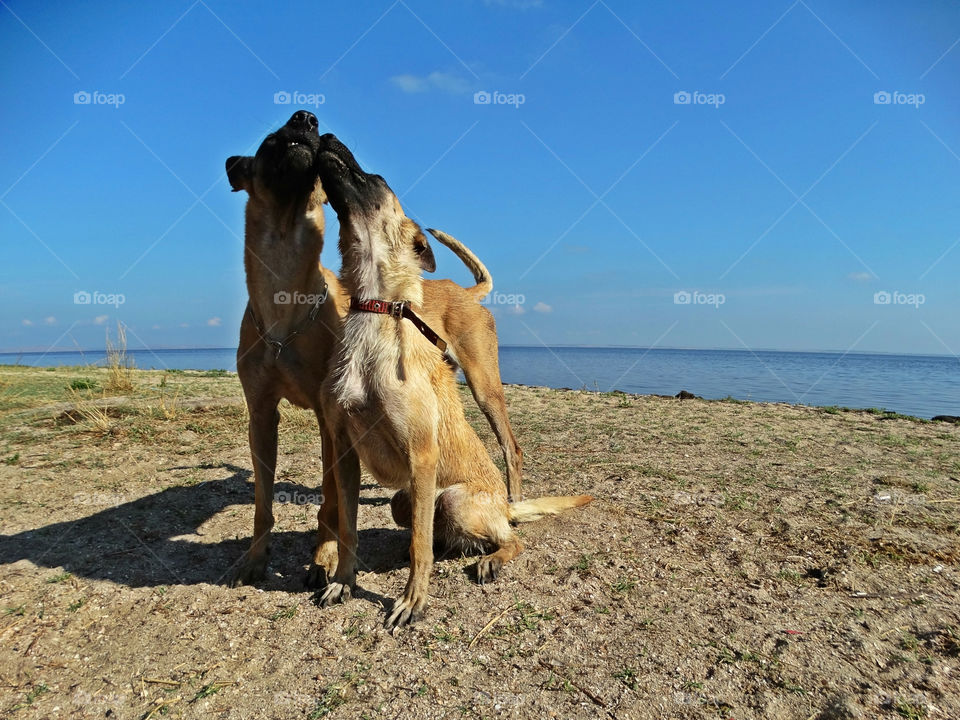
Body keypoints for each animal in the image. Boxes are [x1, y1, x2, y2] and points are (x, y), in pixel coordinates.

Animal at [314, 132, 592, 628]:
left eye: (376, 178)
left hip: (456, 489)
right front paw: (343, 582)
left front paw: (412, 601)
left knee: (510, 538)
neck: (376, 310)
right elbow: (348, 529)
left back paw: (490, 559)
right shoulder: (343, 451)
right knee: (440, 534)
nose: (324, 133)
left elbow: (418, 547)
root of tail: (505, 503)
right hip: (403, 500)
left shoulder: (422, 454)